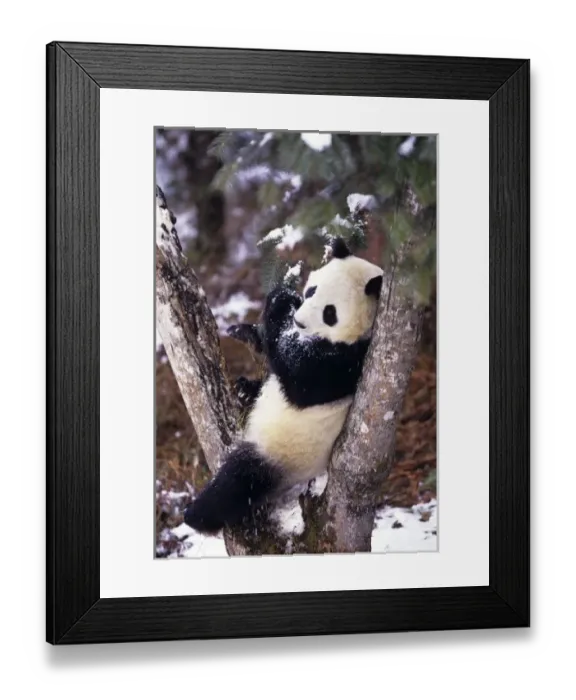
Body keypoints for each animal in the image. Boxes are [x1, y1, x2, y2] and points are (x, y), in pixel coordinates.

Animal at [183, 237, 384, 534]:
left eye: (330, 312)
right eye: (312, 290)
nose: (299, 320)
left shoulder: (346, 362)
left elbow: (299, 373)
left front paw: (281, 305)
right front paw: (278, 302)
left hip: (284, 453)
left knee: (239, 481)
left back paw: (195, 515)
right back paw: (244, 390)